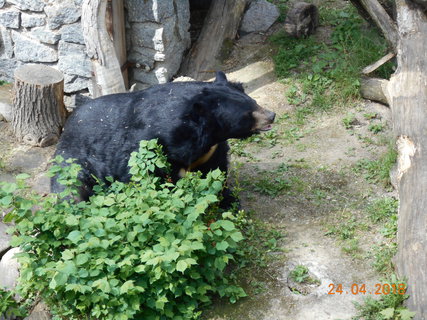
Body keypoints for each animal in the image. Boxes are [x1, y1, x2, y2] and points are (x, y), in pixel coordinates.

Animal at [51, 71, 276, 205]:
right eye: (248, 114)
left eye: (253, 101)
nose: (271, 115)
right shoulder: (148, 146)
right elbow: (140, 177)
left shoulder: (212, 152)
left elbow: (217, 175)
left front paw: (229, 202)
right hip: (73, 164)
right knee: (71, 192)